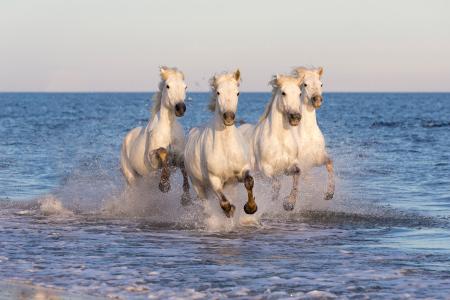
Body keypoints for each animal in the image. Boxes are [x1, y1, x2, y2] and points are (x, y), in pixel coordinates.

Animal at [119, 66, 190, 204]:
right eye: (167, 86)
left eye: (185, 87)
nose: (180, 108)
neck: (168, 130)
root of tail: (127, 137)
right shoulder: (152, 159)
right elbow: (163, 152)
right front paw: (164, 185)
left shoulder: (178, 158)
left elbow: (183, 165)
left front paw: (186, 198)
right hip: (132, 178)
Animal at [185, 69, 256, 217]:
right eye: (218, 92)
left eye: (237, 93)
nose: (228, 117)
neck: (226, 147)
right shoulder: (214, 179)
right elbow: (224, 203)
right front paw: (230, 211)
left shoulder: (241, 171)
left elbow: (249, 181)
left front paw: (251, 207)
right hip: (198, 185)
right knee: (206, 202)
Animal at [241, 74, 304, 211]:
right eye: (283, 93)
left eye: (300, 93)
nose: (295, 117)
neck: (280, 139)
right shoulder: (265, 169)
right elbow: (276, 185)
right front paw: (274, 202)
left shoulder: (289, 166)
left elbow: (297, 174)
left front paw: (289, 203)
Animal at [294, 67, 336, 200]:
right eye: (305, 84)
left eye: (321, 84)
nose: (317, 100)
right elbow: (296, 179)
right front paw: (290, 202)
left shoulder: (316, 158)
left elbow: (330, 163)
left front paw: (329, 193)